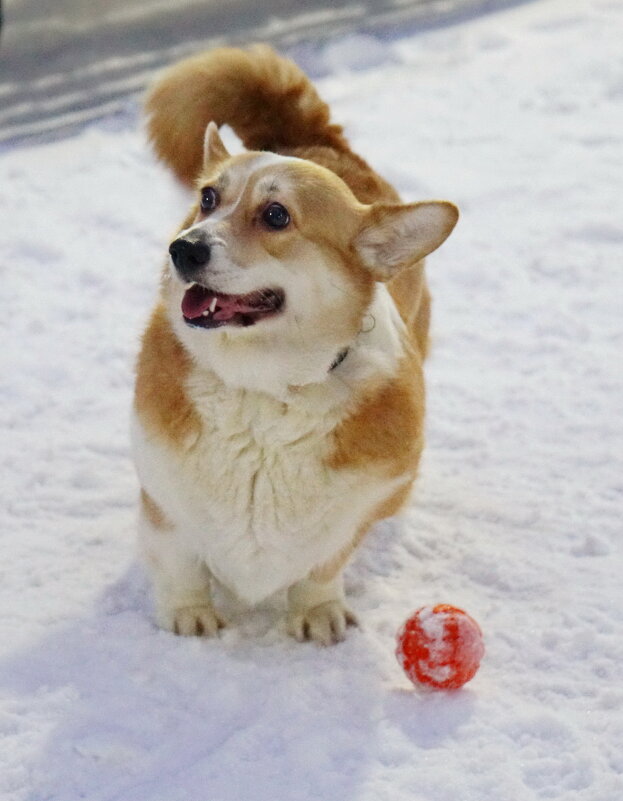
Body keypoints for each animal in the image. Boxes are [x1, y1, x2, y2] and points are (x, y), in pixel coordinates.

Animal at [134, 43, 458, 644]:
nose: (182, 249)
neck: (264, 392)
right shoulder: (164, 500)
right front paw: (188, 615)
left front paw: (315, 613)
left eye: (276, 215)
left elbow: (323, 566)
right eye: (208, 198)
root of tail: (315, 140)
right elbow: (179, 562)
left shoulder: (354, 513)